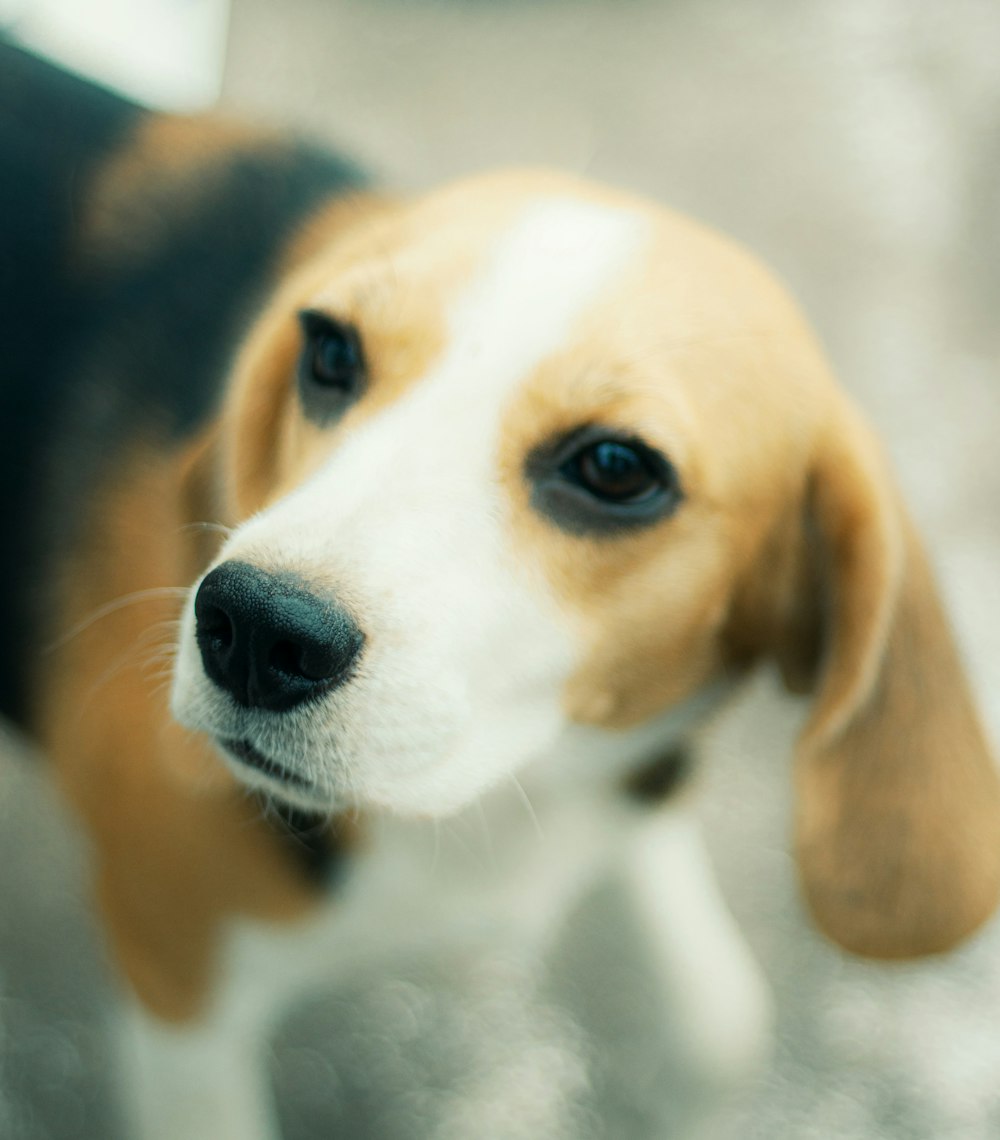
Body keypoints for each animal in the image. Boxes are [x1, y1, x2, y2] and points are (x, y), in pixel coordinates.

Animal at [1, 40, 998, 1135]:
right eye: (330, 350)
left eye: (616, 467)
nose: (255, 629)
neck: (511, 791)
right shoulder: (181, 986)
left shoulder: (629, 778)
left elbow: (720, 1021)